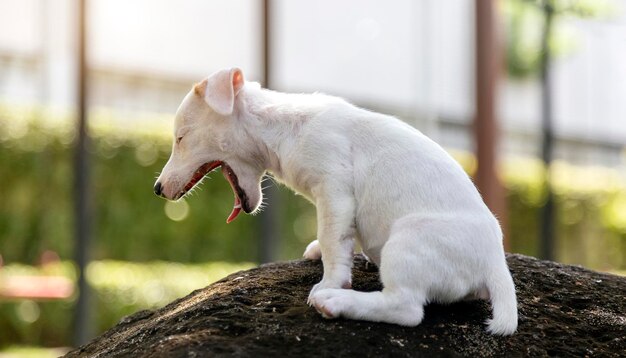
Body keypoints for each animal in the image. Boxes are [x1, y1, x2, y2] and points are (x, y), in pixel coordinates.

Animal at [154, 67, 516, 336]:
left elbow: (332, 239)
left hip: (408, 242)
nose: (157, 189)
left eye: (181, 137)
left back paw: (336, 301)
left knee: (407, 309)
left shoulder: (334, 190)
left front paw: (330, 280)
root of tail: (495, 264)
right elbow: (337, 238)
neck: (281, 128)